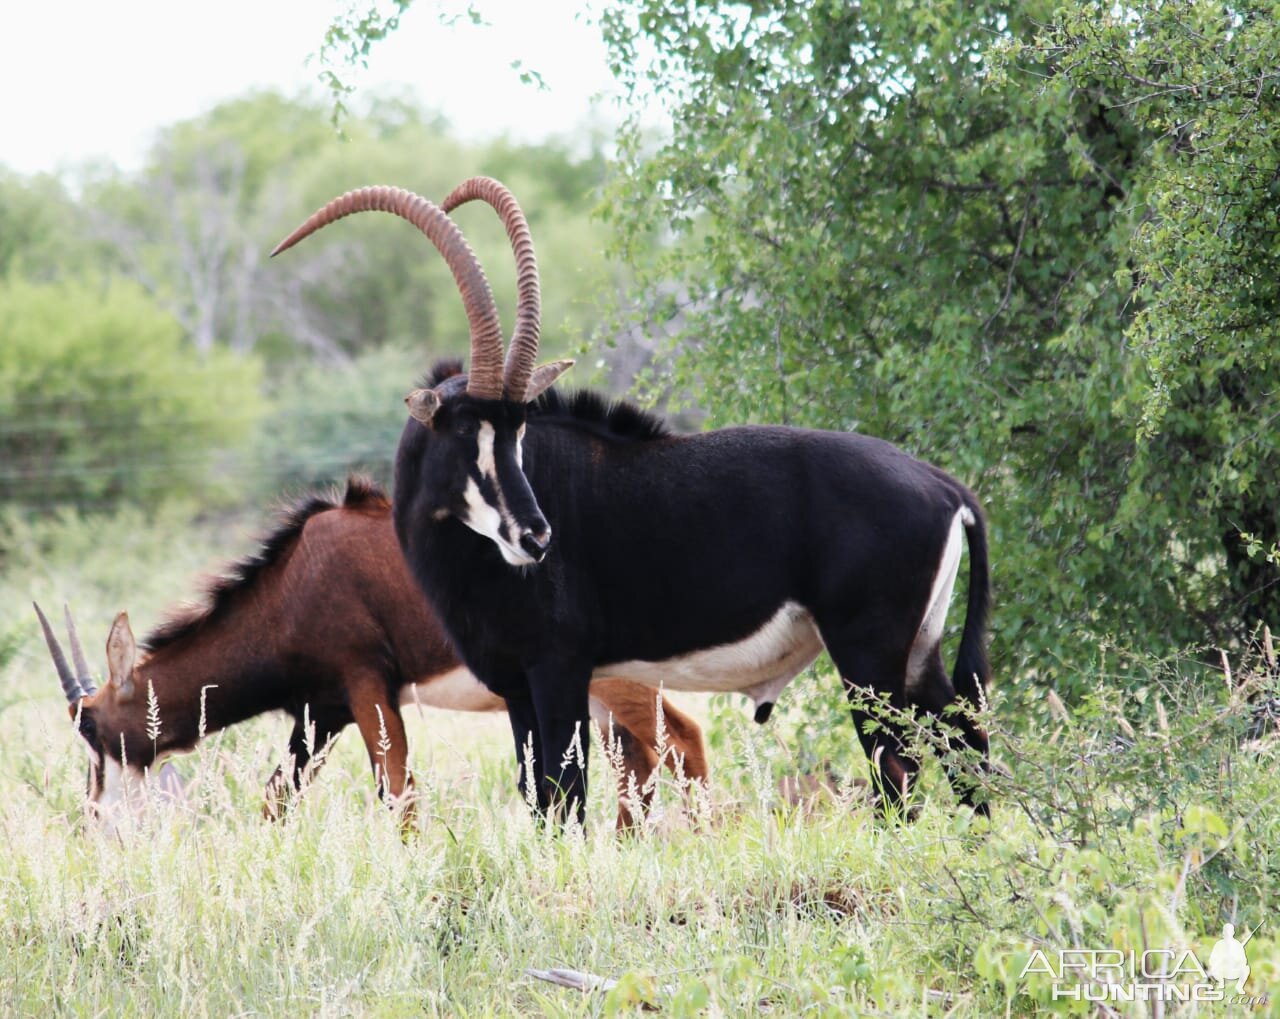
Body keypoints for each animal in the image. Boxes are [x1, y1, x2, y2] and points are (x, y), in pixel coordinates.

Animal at [35, 473, 711, 829]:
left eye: (90, 727)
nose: (95, 819)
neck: (292, 582)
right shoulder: (322, 710)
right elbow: (276, 797)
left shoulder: (365, 685)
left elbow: (398, 794)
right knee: (641, 758)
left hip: (616, 676)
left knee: (681, 740)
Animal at [270, 179, 988, 824]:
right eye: (467, 428)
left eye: (519, 429)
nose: (537, 537)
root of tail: (946, 485)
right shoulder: (516, 683)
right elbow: (538, 796)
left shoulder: (559, 669)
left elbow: (566, 794)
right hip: (918, 654)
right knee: (966, 746)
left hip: (868, 657)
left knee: (899, 769)